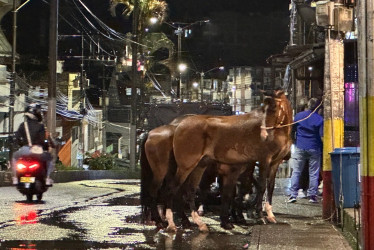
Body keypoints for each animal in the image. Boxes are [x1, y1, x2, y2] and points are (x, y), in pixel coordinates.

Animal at [159, 89, 294, 231]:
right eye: (264, 108)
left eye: (273, 107)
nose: (264, 135)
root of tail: (178, 125)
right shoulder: (264, 160)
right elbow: (261, 186)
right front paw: (259, 214)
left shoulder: (274, 163)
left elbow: (269, 187)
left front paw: (269, 214)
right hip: (186, 167)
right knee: (174, 189)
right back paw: (173, 221)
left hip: (198, 166)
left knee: (189, 190)